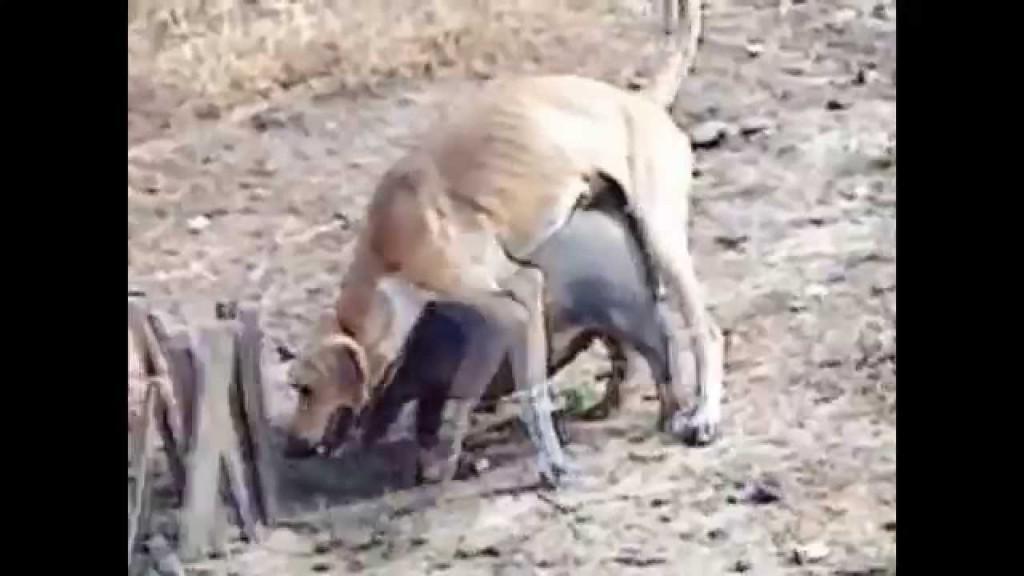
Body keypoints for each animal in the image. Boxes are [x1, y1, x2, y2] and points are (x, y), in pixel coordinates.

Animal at [362, 194, 688, 481]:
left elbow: (448, 415)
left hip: (634, 318)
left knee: (661, 357)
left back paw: (666, 419)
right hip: (611, 327)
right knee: (627, 361)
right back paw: (600, 410)